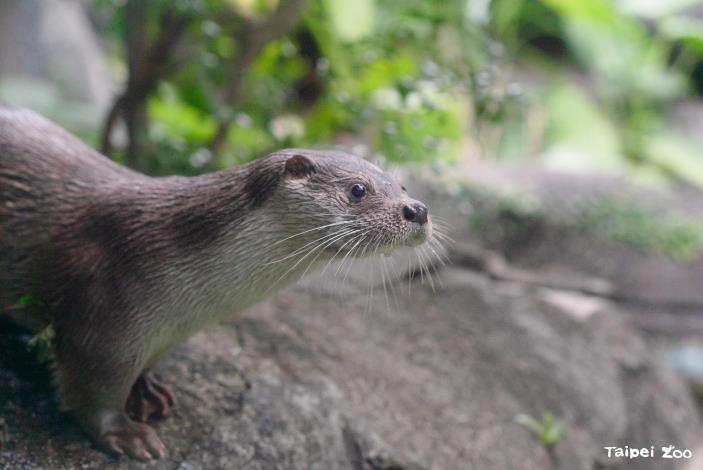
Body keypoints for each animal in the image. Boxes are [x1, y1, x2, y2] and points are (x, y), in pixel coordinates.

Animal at [0, 106, 432, 460]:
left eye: (403, 186)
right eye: (358, 189)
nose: (419, 210)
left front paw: (146, 389)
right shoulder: (104, 309)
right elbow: (91, 389)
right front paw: (126, 433)